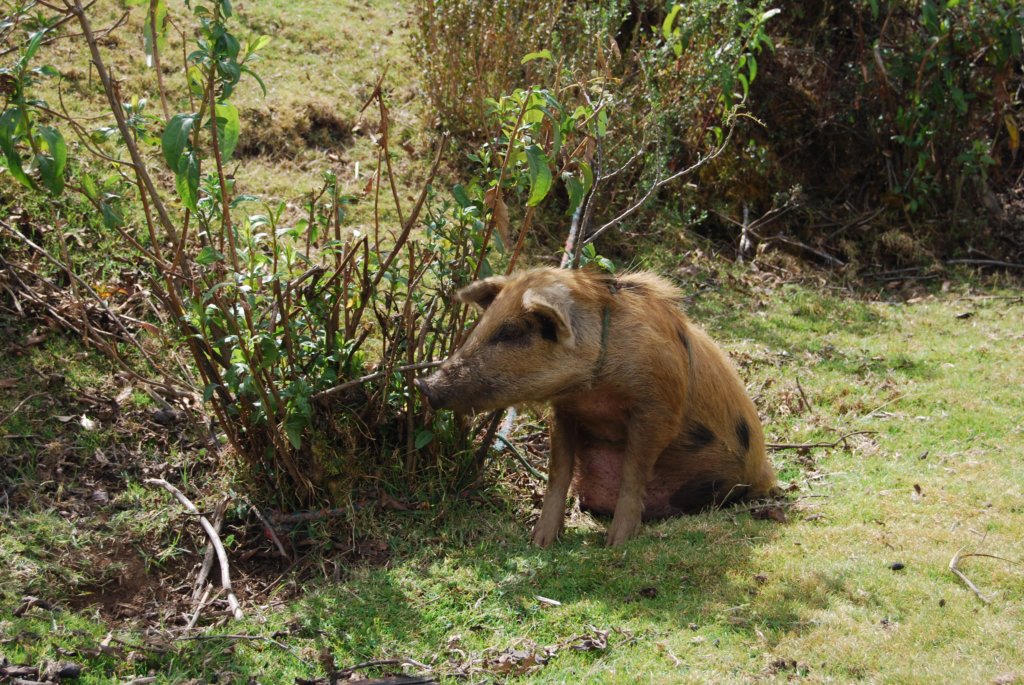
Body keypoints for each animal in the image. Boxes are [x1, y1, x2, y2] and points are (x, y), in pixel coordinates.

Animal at [415, 267, 776, 547]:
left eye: (512, 331)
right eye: (485, 324)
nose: (424, 385)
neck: (593, 387)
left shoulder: (656, 406)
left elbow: (633, 472)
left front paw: (616, 543)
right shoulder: (566, 411)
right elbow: (558, 472)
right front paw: (540, 541)